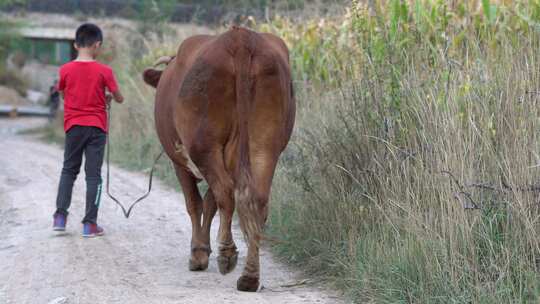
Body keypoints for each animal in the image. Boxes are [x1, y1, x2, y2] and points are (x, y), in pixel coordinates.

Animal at [142, 26, 296, 292]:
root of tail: (241, 38)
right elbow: (210, 203)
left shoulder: (179, 162)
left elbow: (196, 203)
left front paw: (198, 253)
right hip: (264, 146)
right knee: (255, 200)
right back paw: (249, 276)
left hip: (205, 146)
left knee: (225, 192)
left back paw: (227, 254)